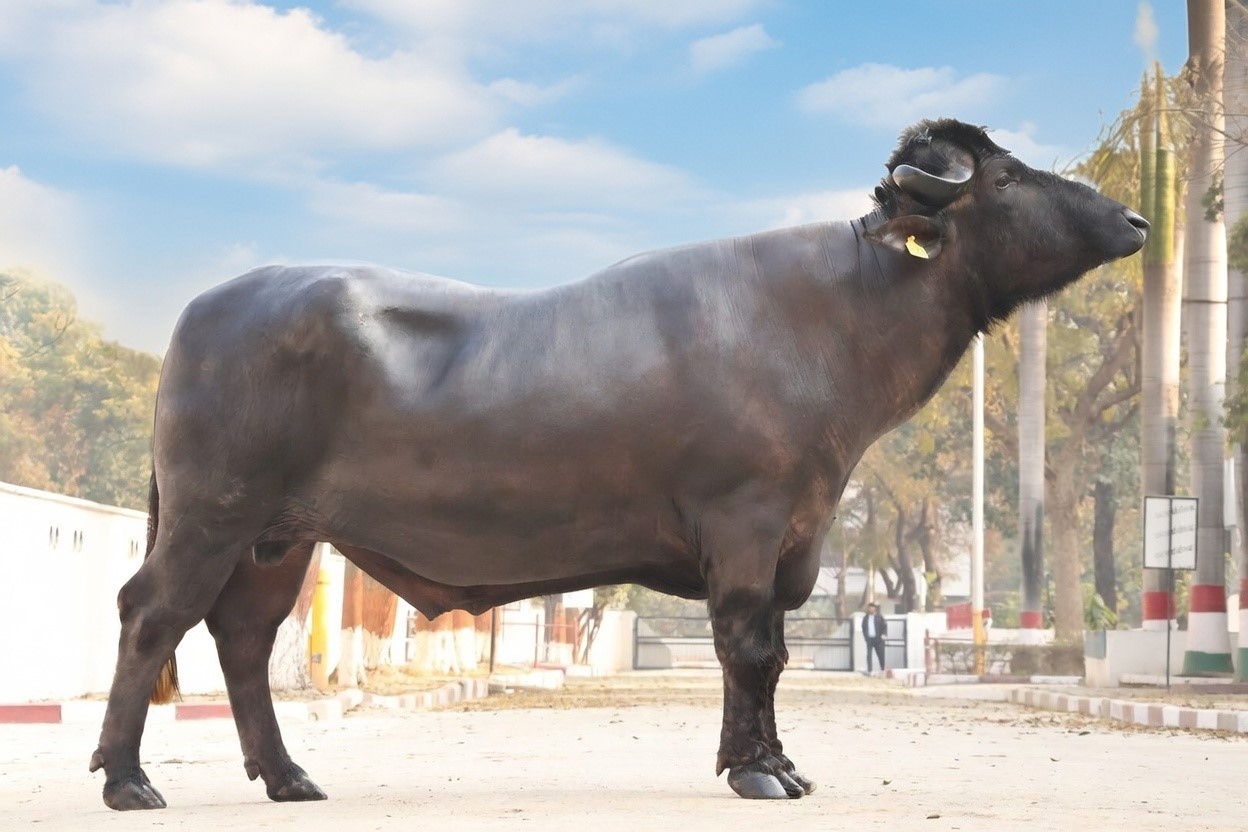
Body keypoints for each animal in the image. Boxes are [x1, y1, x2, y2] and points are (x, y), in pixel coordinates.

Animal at [90, 119, 1147, 809]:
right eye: (1006, 179)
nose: (1135, 221)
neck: (835, 315)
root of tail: (211, 307)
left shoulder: (791, 539)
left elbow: (765, 658)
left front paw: (771, 761)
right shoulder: (746, 526)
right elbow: (747, 648)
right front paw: (759, 771)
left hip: (276, 540)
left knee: (240, 638)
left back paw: (289, 776)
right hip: (213, 515)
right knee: (151, 616)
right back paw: (129, 778)